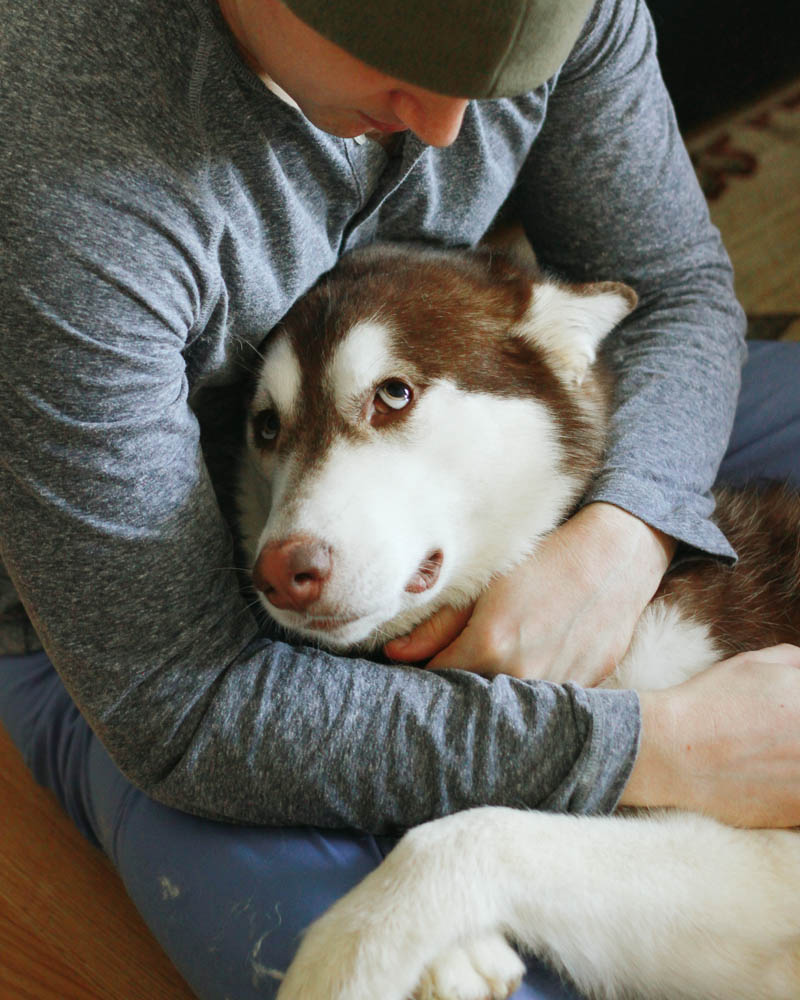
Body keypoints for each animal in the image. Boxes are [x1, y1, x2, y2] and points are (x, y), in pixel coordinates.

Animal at [236, 246, 800, 1000]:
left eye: (393, 394)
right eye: (268, 426)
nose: (279, 571)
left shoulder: (773, 859)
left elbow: (470, 834)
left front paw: (345, 962)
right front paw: (450, 956)